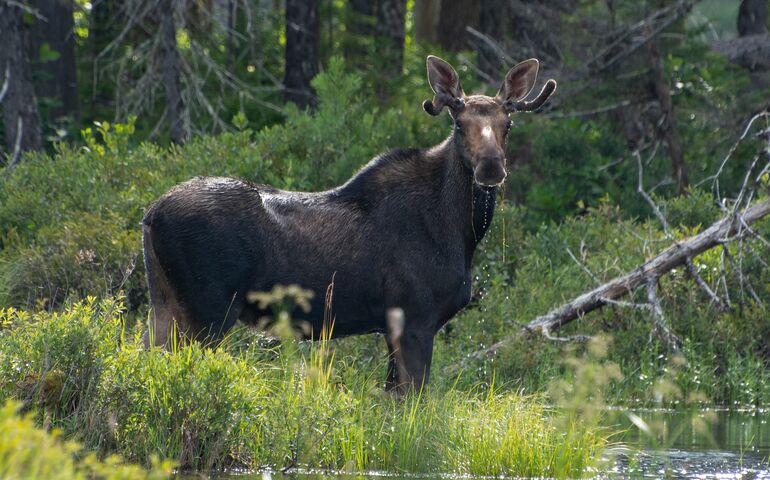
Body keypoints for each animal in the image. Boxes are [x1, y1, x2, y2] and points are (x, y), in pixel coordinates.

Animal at [142, 54, 552, 392]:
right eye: (459, 123)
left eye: (508, 123)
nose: (491, 167)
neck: (461, 234)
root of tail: (150, 215)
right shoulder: (416, 318)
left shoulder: (395, 326)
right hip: (207, 310)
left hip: (163, 304)